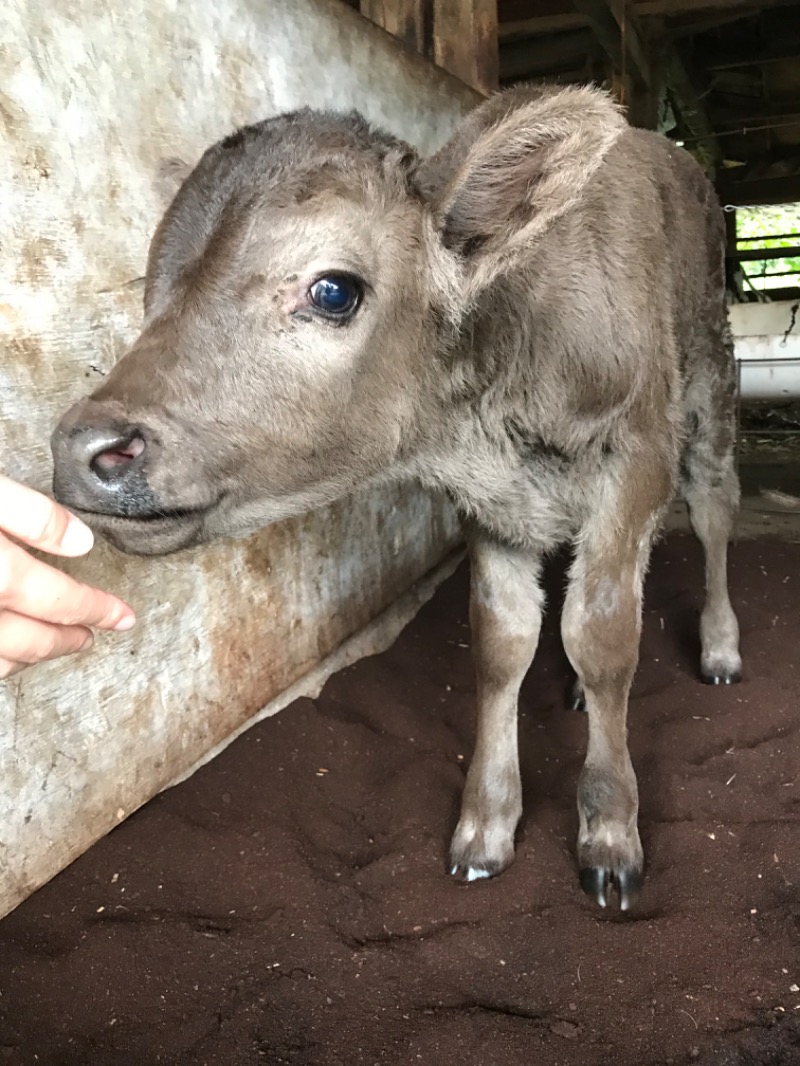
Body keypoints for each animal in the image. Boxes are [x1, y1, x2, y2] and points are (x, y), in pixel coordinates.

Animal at [53, 87, 742, 912]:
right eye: (152, 291)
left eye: (333, 290)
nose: (89, 449)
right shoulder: (491, 505)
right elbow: (502, 643)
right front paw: (486, 826)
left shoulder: (634, 465)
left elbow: (605, 638)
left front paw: (609, 833)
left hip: (708, 389)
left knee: (714, 513)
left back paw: (721, 646)